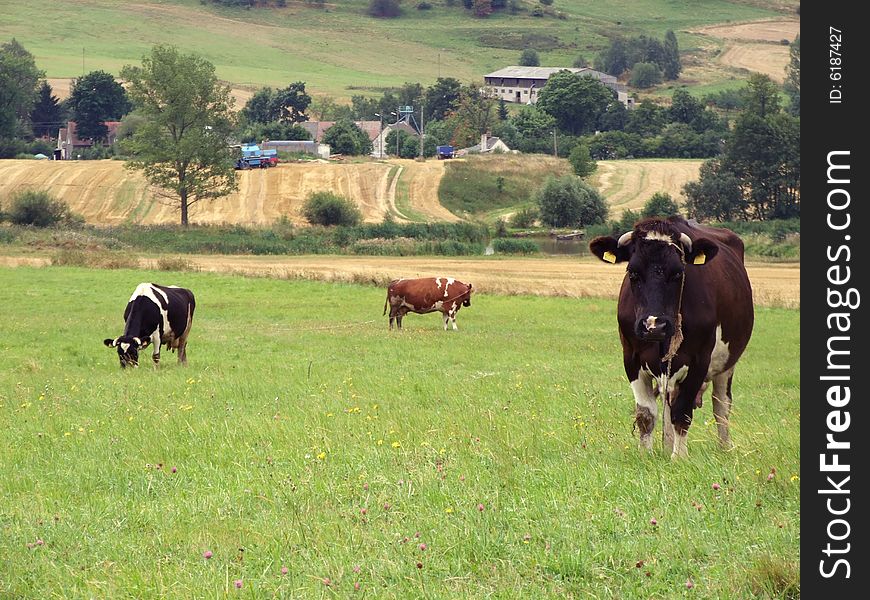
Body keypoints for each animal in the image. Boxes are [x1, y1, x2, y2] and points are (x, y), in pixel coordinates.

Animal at [592, 218, 756, 458]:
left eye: (678, 273)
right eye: (632, 272)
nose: (654, 325)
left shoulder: (699, 360)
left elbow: (682, 412)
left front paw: (679, 458)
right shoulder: (631, 358)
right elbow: (646, 413)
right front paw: (646, 455)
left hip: (727, 364)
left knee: (721, 405)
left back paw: (724, 447)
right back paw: (667, 444)